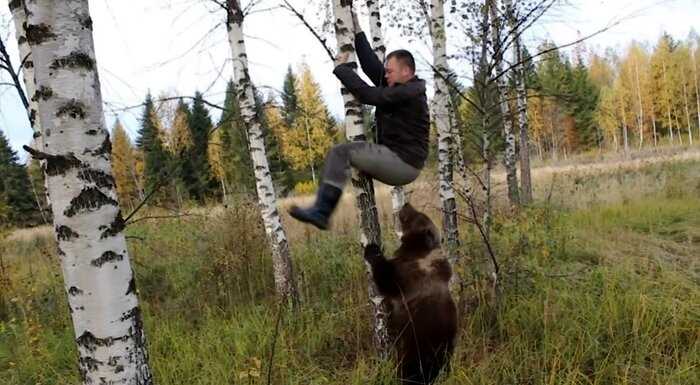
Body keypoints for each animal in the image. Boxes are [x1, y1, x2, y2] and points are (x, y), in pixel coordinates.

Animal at [364, 202, 456, 382]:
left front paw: (372, 249)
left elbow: (386, 279)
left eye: (417, 214)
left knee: (410, 369)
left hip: (415, 345)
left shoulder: (408, 274)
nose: (406, 204)